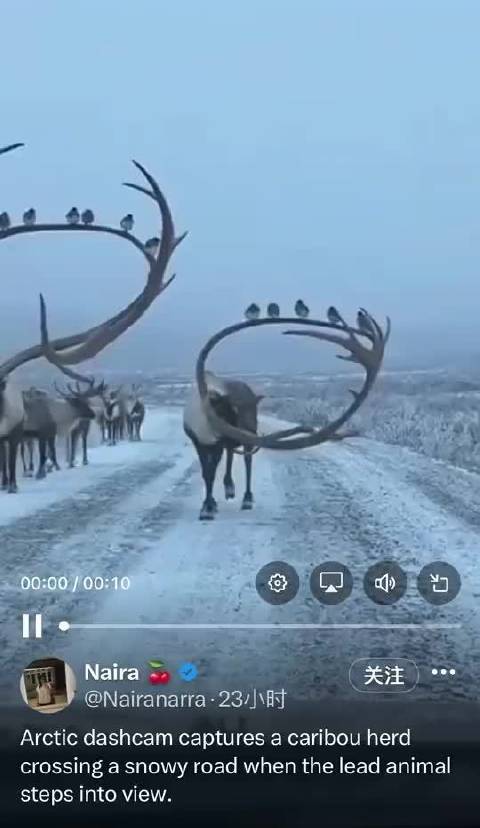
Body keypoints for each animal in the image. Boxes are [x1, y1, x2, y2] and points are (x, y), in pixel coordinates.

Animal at [185, 304, 390, 520]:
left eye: (235, 410)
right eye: (229, 410)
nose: (247, 430)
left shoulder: (220, 440)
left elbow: (213, 469)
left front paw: (209, 505)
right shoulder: (200, 441)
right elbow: (207, 472)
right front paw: (208, 505)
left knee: (245, 460)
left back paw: (245, 496)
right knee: (231, 456)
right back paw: (228, 487)